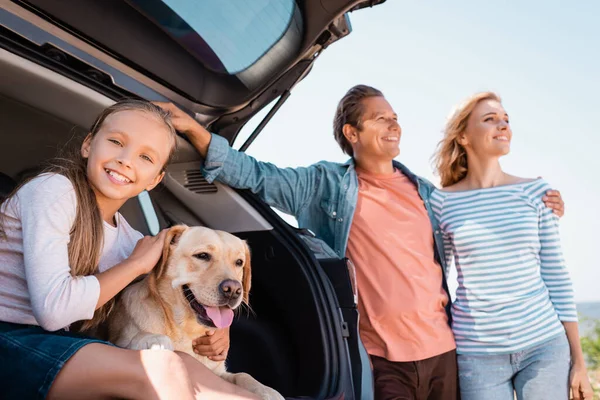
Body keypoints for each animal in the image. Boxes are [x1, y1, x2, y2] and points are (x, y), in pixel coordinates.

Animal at [107, 225, 284, 400]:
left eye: (239, 262)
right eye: (202, 255)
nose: (233, 290)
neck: (185, 329)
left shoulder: (218, 372)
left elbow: (243, 375)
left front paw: (268, 391)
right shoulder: (120, 340)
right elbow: (137, 339)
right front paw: (155, 340)